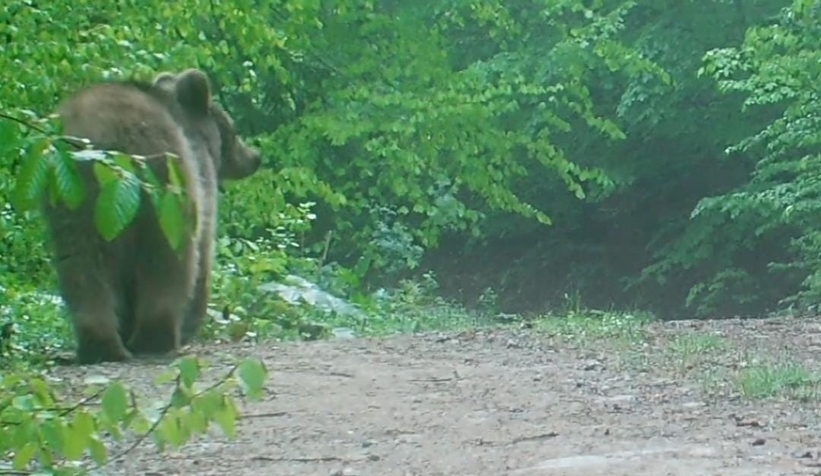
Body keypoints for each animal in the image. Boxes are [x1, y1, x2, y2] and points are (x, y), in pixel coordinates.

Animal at [41, 68, 262, 364]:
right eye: (232, 129)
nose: (255, 157)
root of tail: (113, 145)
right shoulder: (200, 174)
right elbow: (204, 248)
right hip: (166, 192)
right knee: (170, 261)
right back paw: (157, 337)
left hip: (76, 199)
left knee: (81, 266)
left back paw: (101, 345)